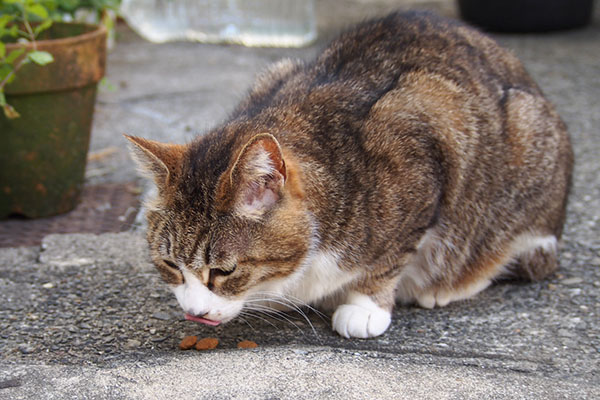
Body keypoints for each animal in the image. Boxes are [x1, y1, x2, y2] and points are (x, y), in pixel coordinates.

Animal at [126, 10, 572, 338]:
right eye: (170, 266)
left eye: (223, 272)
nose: (194, 313)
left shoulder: (423, 142)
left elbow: (388, 259)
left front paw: (364, 305)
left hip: (524, 150)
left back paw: (445, 285)